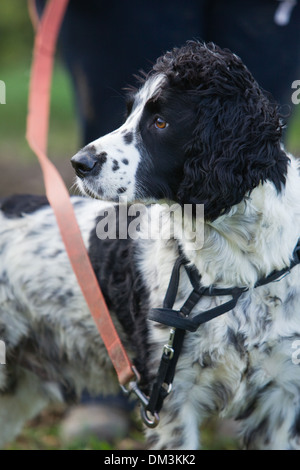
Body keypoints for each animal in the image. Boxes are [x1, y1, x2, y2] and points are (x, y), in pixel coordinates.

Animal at [0, 42, 300, 450]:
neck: (236, 268)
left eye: (160, 122)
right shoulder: (172, 394)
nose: (79, 163)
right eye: (130, 112)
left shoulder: (280, 396)